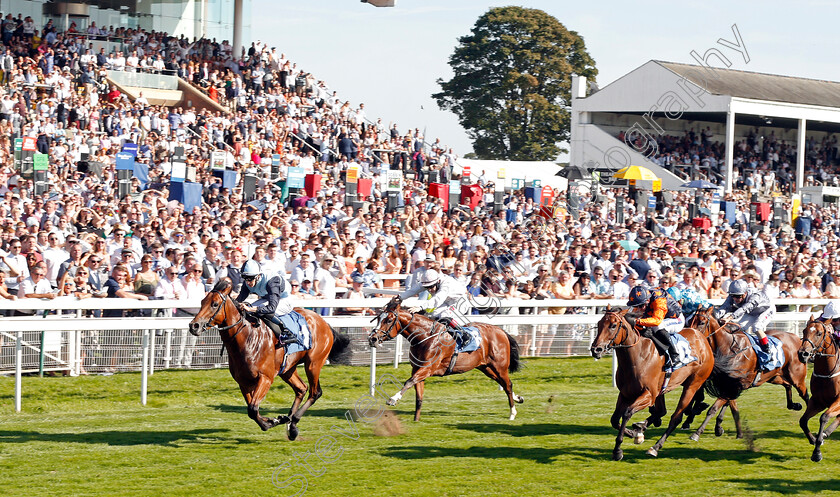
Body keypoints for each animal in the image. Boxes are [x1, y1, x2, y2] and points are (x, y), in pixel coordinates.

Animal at [189, 280, 350, 438]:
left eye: (215, 304)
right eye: (202, 301)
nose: (194, 326)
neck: (248, 338)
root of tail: (324, 323)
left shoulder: (265, 378)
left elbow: (253, 408)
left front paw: (272, 421)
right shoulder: (243, 382)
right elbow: (252, 409)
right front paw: (274, 420)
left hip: (313, 363)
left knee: (315, 392)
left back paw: (294, 421)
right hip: (287, 368)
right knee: (301, 389)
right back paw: (291, 423)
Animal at [370, 296, 520, 420]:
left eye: (389, 320)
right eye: (377, 318)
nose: (372, 338)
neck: (424, 336)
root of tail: (501, 331)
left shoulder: (427, 369)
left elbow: (408, 382)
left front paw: (393, 399)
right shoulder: (417, 369)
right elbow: (418, 396)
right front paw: (416, 420)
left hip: (499, 366)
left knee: (507, 384)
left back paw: (512, 413)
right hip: (486, 367)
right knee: (502, 382)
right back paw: (518, 398)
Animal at [588, 306, 712, 462]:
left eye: (613, 325)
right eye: (599, 324)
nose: (596, 349)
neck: (637, 357)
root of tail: (703, 340)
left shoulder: (648, 394)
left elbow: (627, 412)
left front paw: (618, 450)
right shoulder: (625, 393)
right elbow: (614, 419)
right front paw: (635, 433)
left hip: (692, 385)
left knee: (675, 418)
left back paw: (655, 447)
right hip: (661, 390)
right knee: (661, 411)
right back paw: (641, 427)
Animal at [684, 306, 812, 442]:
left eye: (702, 322)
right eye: (689, 320)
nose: (689, 337)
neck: (729, 349)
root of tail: (797, 338)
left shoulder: (734, 386)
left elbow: (714, 408)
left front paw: (698, 432)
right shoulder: (729, 385)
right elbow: (730, 406)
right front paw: (723, 429)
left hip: (797, 377)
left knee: (805, 395)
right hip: (773, 377)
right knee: (787, 385)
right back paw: (794, 405)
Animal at [796, 318, 840, 462]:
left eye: (819, 333)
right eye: (804, 330)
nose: (803, 354)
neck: (826, 372)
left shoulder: (838, 401)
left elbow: (824, 417)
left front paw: (817, 452)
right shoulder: (817, 401)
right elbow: (803, 421)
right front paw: (814, 440)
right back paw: (826, 433)